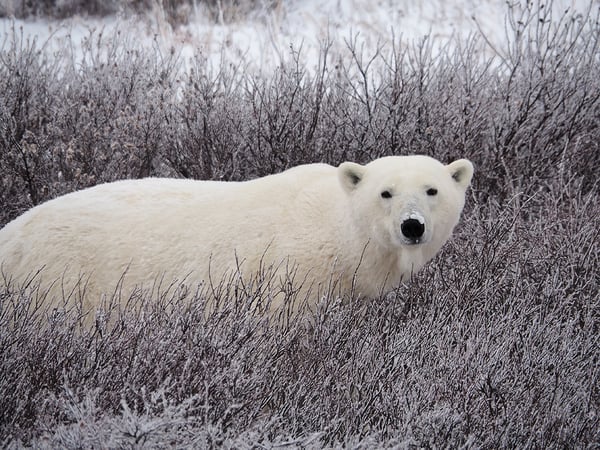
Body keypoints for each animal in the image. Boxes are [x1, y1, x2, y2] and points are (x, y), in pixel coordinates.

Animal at [0, 156, 474, 318]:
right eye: (385, 192)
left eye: (432, 190)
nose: (412, 225)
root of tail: (10, 234)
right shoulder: (292, 277)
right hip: (58, 278)